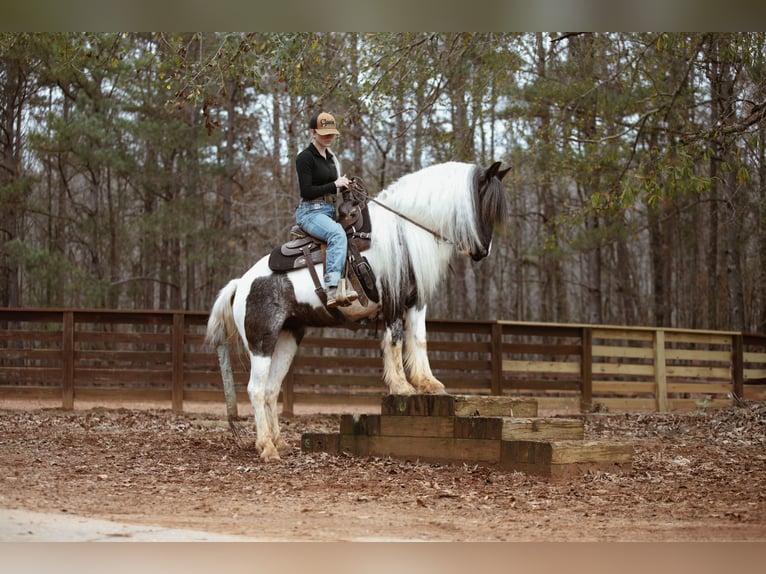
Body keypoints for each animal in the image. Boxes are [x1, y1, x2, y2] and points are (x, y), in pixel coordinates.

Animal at [205, 160, 510, 460]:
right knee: (256, 390)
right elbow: (395, 340)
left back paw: (279, 443)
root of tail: (241, 283)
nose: (483, 252)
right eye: (487, 206)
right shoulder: (393, 300)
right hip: (262, 342)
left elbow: (419, 339)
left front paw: (428, 384)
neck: (404, 231)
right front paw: (402, 387)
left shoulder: (415, 301)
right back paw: (267, 448)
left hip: (287, 338)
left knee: (270, 389)